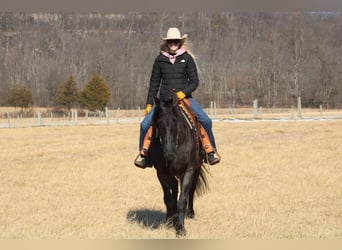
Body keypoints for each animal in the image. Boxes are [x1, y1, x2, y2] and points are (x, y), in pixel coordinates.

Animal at [149, 95, 210, 236]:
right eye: (158, 123)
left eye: (174, 121)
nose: (169, 153)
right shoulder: (161, 173)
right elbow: (168, 197)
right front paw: (169, 221)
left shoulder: (188, 170)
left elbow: (182, 200)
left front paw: (181, 228)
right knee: (174, 191)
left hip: (196, 169)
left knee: (191, 191)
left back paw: (190, 213)